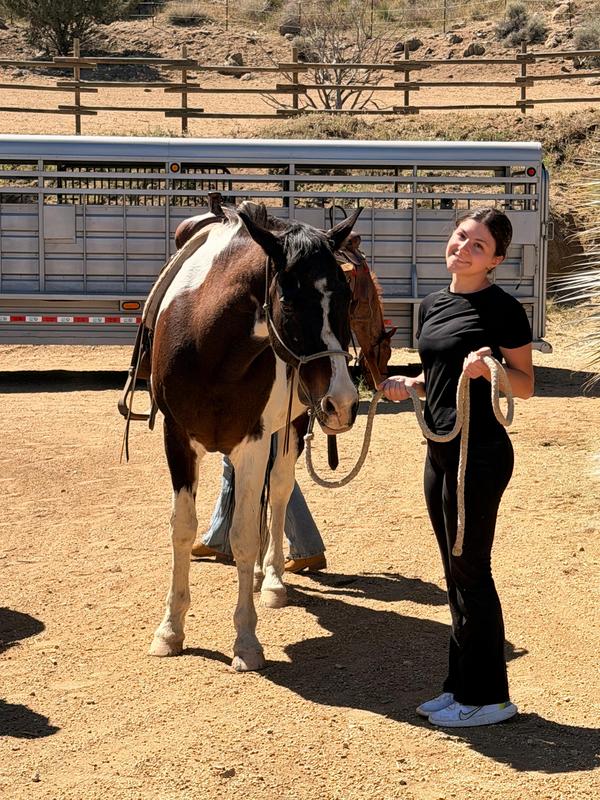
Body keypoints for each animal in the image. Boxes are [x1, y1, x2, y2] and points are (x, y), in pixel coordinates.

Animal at [149, 203, 360, 671]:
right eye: (289, 299)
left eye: (348, 297)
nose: (341, 402)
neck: (207, 347)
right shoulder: (177, 438)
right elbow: (181, 529)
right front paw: (170, 630)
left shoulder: (254, 442)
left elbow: (244, 536)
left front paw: (245, 641)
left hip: (290, 429)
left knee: (278, 492)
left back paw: (274, 579)